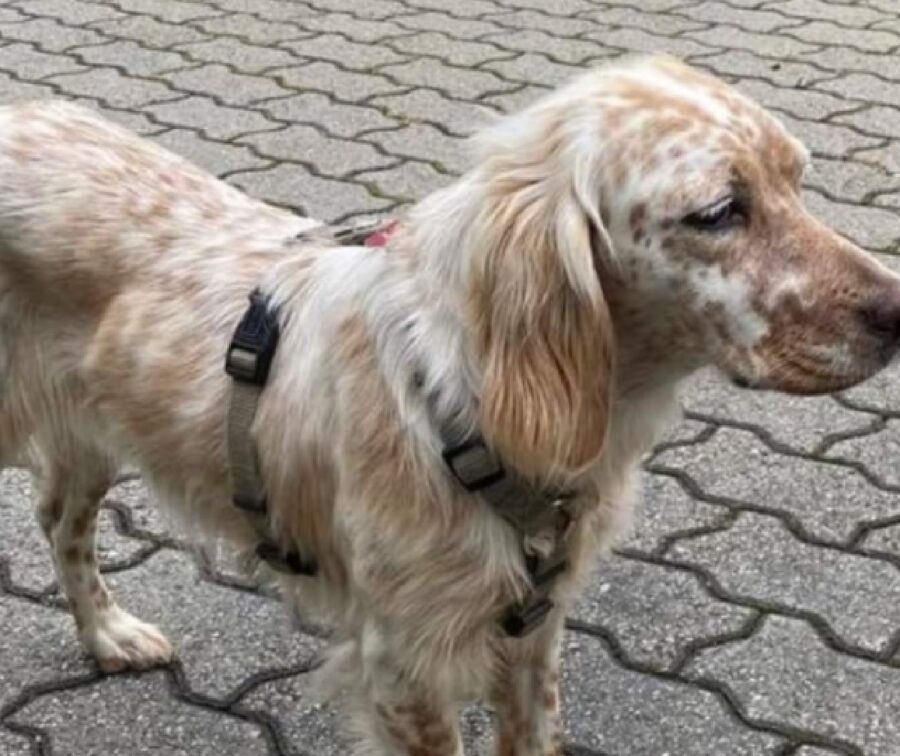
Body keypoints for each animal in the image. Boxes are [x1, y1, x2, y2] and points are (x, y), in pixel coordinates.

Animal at [1, 56, 900, 752]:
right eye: (717, 212)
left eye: (798, 180)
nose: (897, 311)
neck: (470, 406)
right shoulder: (405, 664)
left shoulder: (535, 632)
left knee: (61, 521)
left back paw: (109, 635)